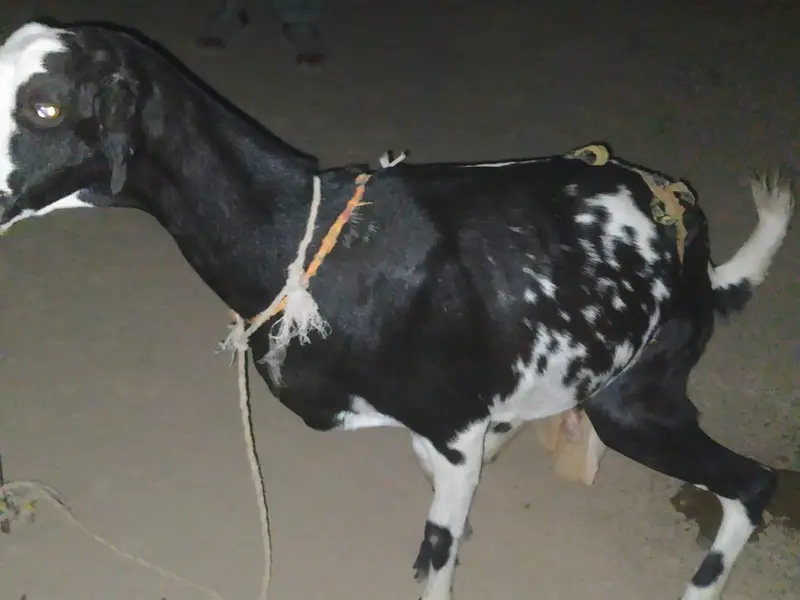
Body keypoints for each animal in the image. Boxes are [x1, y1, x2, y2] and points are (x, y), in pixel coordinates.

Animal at [0, 21, 794, 600]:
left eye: (45, 105)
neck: (303, 234)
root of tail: (697, 251)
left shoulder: (453, 436)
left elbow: (435, 561)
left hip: (636, 405)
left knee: (751, 485)